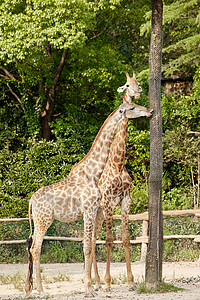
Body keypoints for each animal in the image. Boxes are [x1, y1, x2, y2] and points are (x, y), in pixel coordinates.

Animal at [24, 96, 152, 298]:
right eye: (131, 107)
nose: (150, 112)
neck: (93, 173)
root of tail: (31, 201)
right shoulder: (90, 209)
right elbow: (87, 246)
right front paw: (89, 289)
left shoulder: (92, 211)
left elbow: (90, 245)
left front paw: (92, 287)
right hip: (44, 220)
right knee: (36, 248)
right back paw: (42, 291)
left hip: (39, 220)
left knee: (31, 247)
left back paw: (29, 290)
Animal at [91, 70, 146, 290]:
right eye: (127, 85)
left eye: (138, 82)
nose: (138, 91)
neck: (118, 164)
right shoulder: (108, 202)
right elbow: (108, 240)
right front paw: (107, 282)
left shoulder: (126, 199)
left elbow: (124, 239)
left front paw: (131, 281)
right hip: (96, 211)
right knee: (91, 238)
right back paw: (97, 282)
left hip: (98, 213)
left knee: (92, 238)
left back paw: (95, 281)